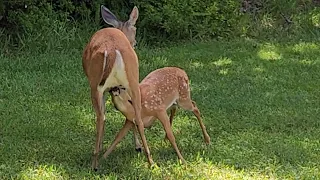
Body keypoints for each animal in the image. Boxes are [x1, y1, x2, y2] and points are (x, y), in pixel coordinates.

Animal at [82, 4, 153, 170]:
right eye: (135, 27)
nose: (135, 42)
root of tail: (113, 50)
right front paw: (137, 146)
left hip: (95, 85)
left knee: (101, 116)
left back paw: (95, 162)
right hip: (133, 81)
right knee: (138, 118)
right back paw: (150, 160)